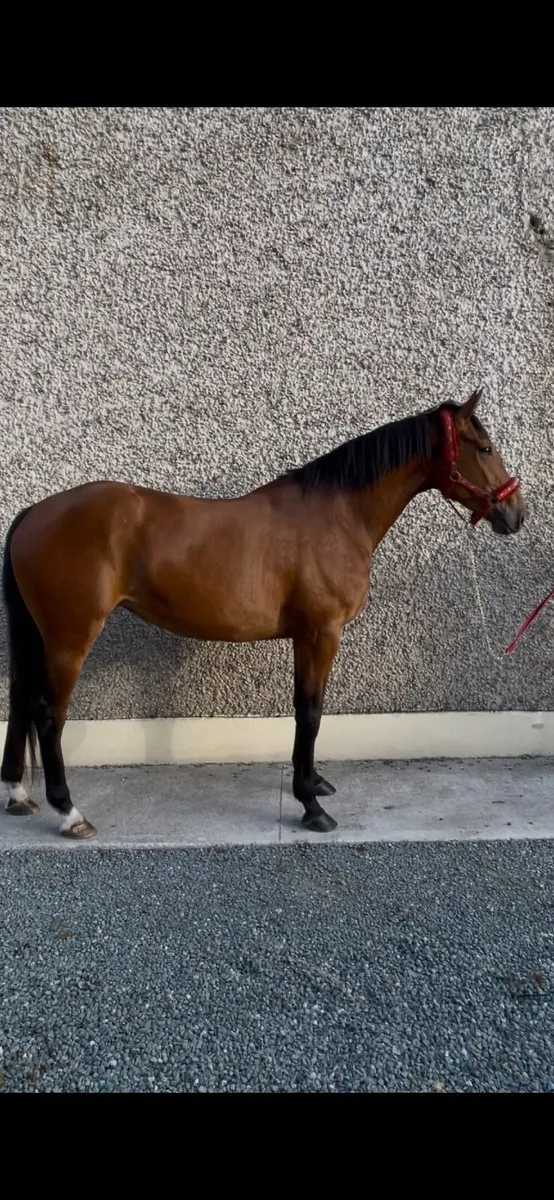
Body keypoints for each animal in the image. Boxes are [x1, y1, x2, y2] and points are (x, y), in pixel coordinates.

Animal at [1, 387, 525, 840]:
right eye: (484, 447)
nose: (516, 513)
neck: (338, 515)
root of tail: (33, 513)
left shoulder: (307, 636)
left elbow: (307, 709)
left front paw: (314, 784)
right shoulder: (320, 633)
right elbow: (310, 712)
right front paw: (311, 806)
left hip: (42, 636)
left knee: (23, 700)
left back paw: (18, 794)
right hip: (70, 637)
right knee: (49, 714)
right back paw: (70, 813)